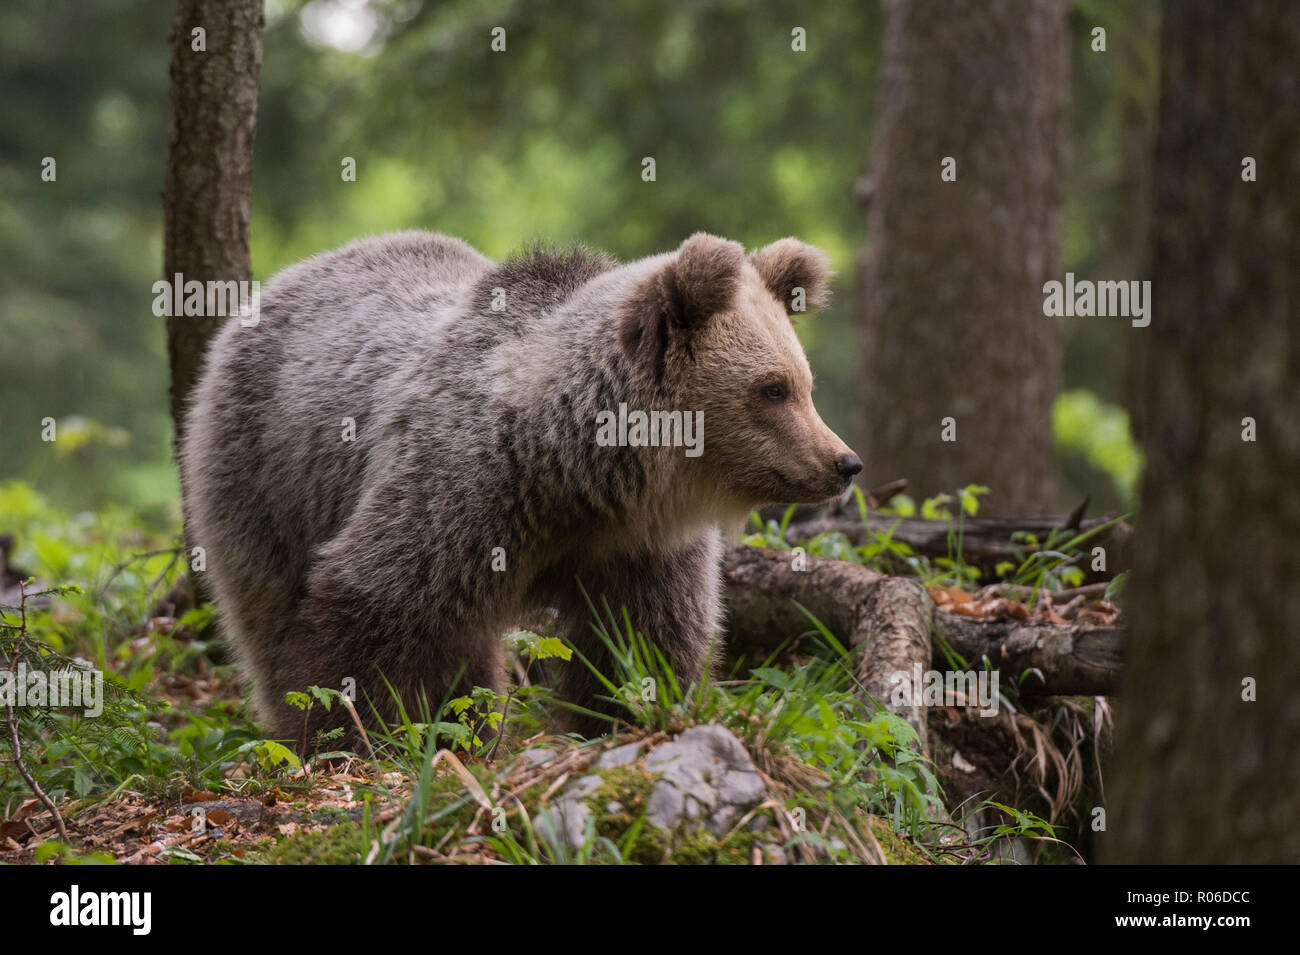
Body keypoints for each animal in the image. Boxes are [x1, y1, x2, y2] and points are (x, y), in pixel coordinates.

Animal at [175, 233, 863, 748]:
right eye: (772, 389)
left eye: (804, 383)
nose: (844, 463)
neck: (575, 467)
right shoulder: (464, 493)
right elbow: (376, 608)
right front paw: (354, 735)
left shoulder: (636, 544)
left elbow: (645, 638)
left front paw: (625, 716)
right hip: (262, 471)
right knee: (268, 607)